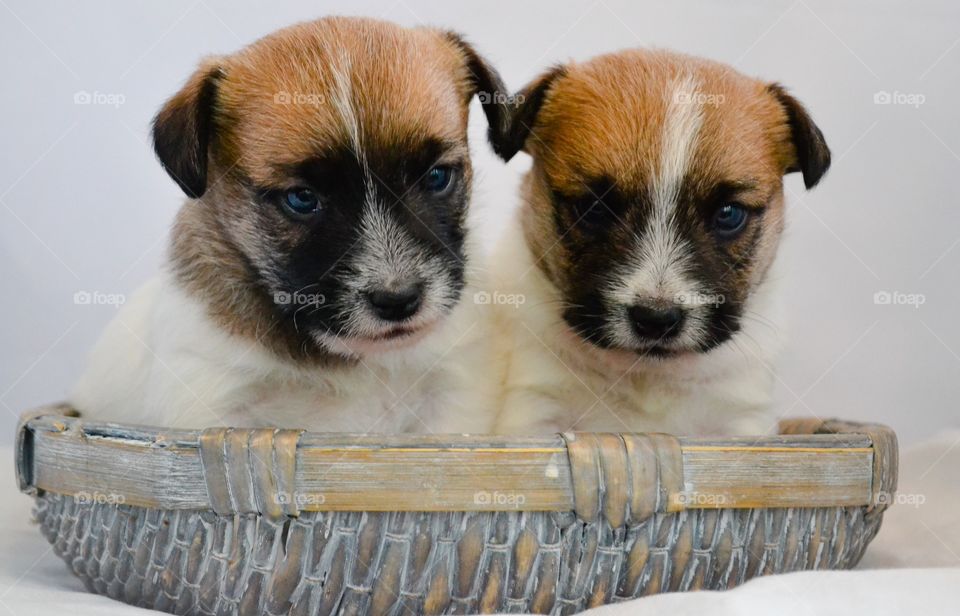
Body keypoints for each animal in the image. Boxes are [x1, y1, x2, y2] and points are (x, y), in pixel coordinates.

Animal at [492, 50, 828, 438]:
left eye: (729, 214)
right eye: (593, 208)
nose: (656, 319)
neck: (648, 375)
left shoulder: (742, 420)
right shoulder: (536, 408)